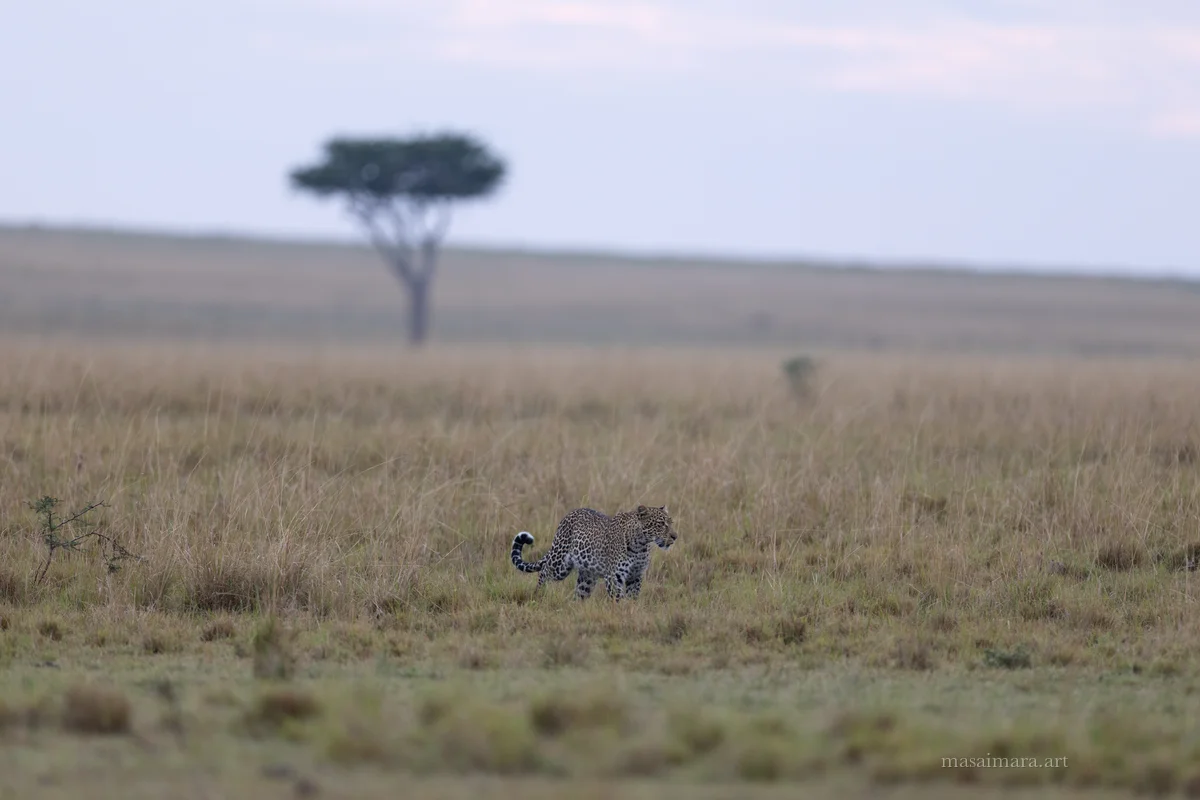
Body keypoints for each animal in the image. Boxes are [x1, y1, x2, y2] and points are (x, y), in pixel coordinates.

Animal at [509, 505, 678, 600]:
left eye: (670, 523)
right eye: (661, 524)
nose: (675, 536)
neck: (641, 546)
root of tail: (568, 515)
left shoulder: (636, 575)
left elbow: (633, 598)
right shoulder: (614, 576)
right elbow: (619, 599)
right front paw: (622, 614)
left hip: (587, 576)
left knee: (579, 594)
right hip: (560, 564)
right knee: (544, 572)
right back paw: (539, 595)